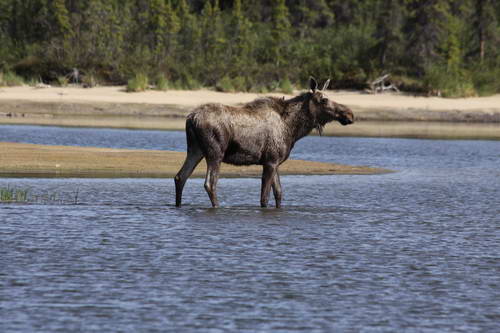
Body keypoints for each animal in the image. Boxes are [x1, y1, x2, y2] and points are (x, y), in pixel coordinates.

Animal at [174, 78, 354, 208]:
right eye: (324, 99)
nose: (350, 114)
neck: (293, 129)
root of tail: (191, 118)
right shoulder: (270, 161)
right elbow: (264, 198)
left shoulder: (275, 162)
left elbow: (279, 194)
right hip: (215, 152)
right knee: (210, 183)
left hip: (195, 149)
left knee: (180, 177)